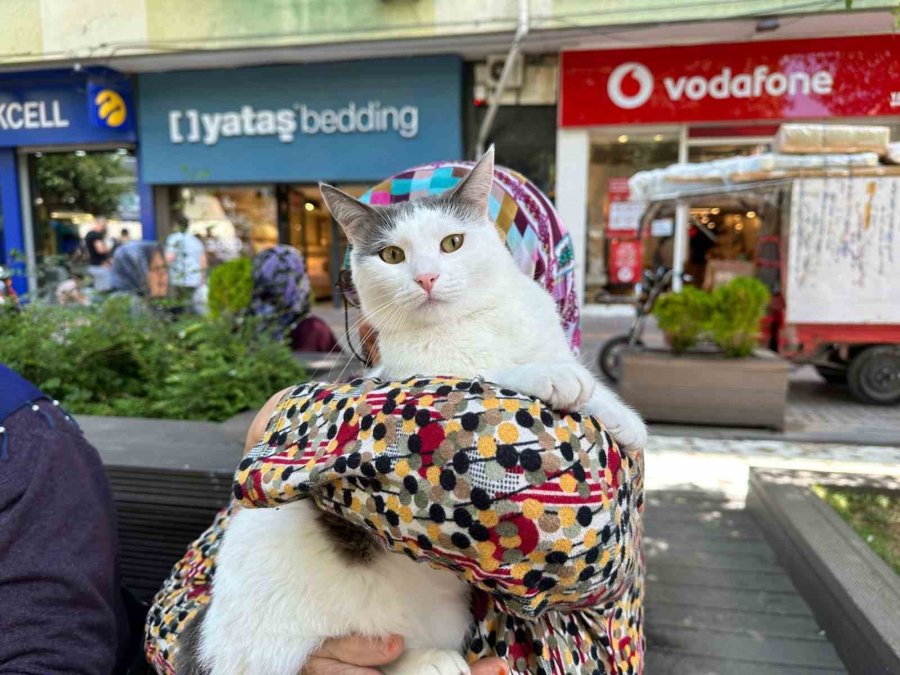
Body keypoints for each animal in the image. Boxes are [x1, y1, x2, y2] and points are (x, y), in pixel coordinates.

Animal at [185, 151, 648, 675]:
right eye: (391, 256)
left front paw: (623, 418)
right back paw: (428, 662)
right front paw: (553, 376)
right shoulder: (415, 375)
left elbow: (577, 376)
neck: (472, 321)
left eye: (452, 243)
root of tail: (213, 645)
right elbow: (488, 371)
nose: (426, 277)